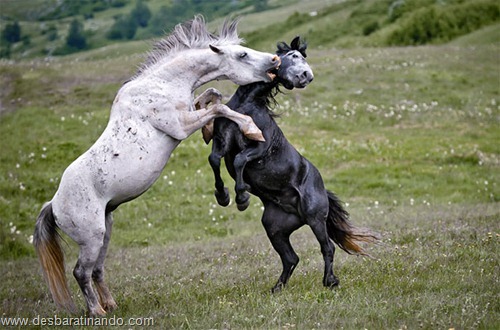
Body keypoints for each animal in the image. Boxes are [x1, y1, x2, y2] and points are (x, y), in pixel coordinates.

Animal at [33, 16, 280, 318]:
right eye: (242, 55)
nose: (275, 60)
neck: (161, 85)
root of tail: (53, 205)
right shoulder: (180, 126)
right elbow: (218, 108)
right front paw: (251, 128)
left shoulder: (189, 112)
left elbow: (211, 96)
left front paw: (211, 130)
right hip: (91, 237)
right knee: (81, 272)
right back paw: (97, 312)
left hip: (105, 231)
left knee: (97, 270)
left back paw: (111, 305)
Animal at [208, 37, 378, 292]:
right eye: (295, 56)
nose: (307, 76)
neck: (247, 106)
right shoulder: (222, 141)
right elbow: (215, 160)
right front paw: (223, 195)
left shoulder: (260, 147)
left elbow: (239, 160)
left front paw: (242, 197)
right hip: (275, 228)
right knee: (291, 258)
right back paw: (277, 288)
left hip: (315, 218)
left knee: (327, 247)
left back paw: (330, 281)